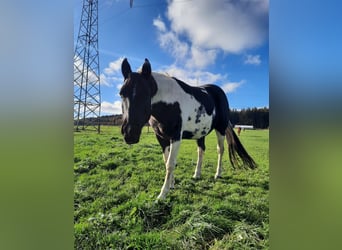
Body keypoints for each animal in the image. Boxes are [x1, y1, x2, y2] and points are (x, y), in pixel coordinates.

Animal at [119, 58, 255, 199]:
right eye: (121, 94)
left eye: (145, 94)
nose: (129, 133)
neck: (168, 103)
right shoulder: (161, 137)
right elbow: (166, 161)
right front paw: (172, 183)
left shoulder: (176, 136)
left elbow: (170, 163)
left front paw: (163, 193)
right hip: (201, 133)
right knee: (201, 151)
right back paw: (197, 174)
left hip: (220, 129)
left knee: (220, 150)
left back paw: (218, 173)